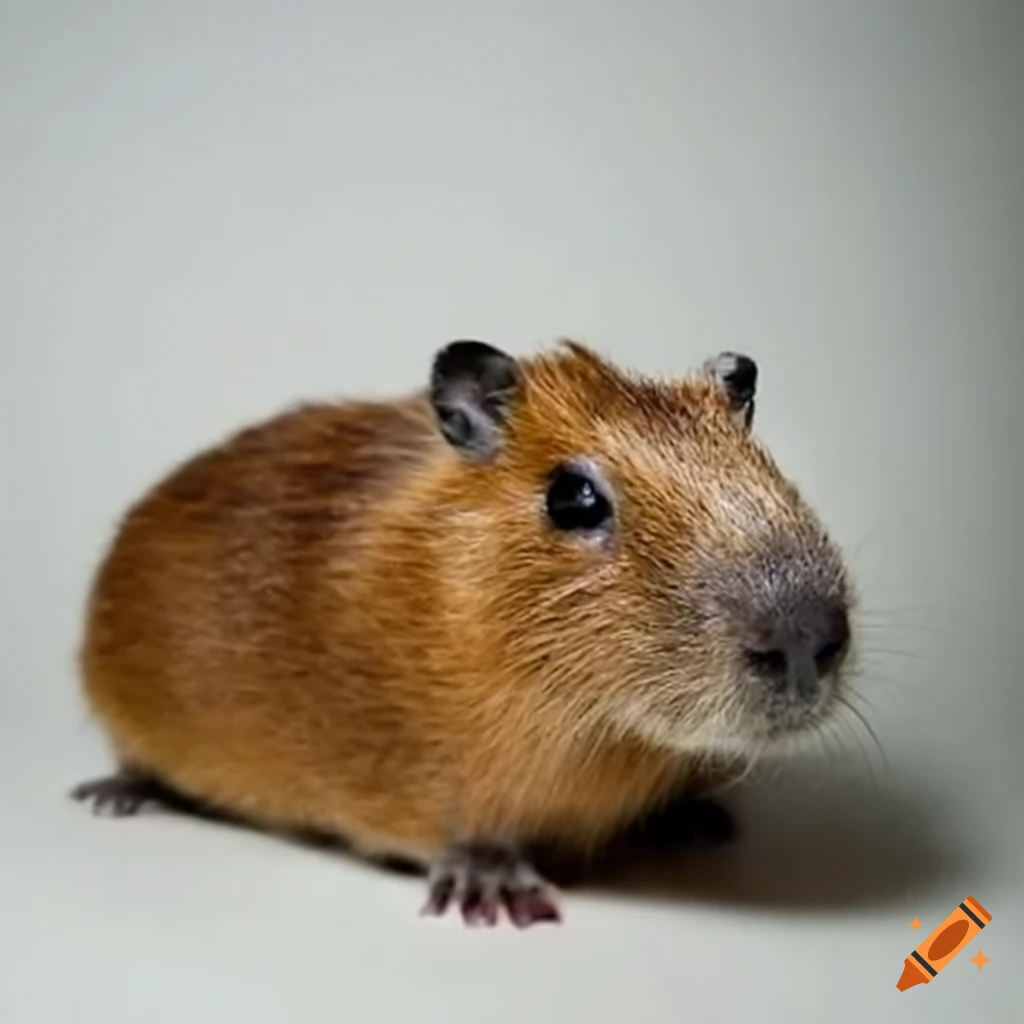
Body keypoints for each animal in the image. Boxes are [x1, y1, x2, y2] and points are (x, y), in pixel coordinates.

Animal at [73, 339, 854, 927]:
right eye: (573, 497)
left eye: (760, 464)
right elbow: (461, 832)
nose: (804, 641)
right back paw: (112, 796)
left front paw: (698, 822)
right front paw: (501, 897)